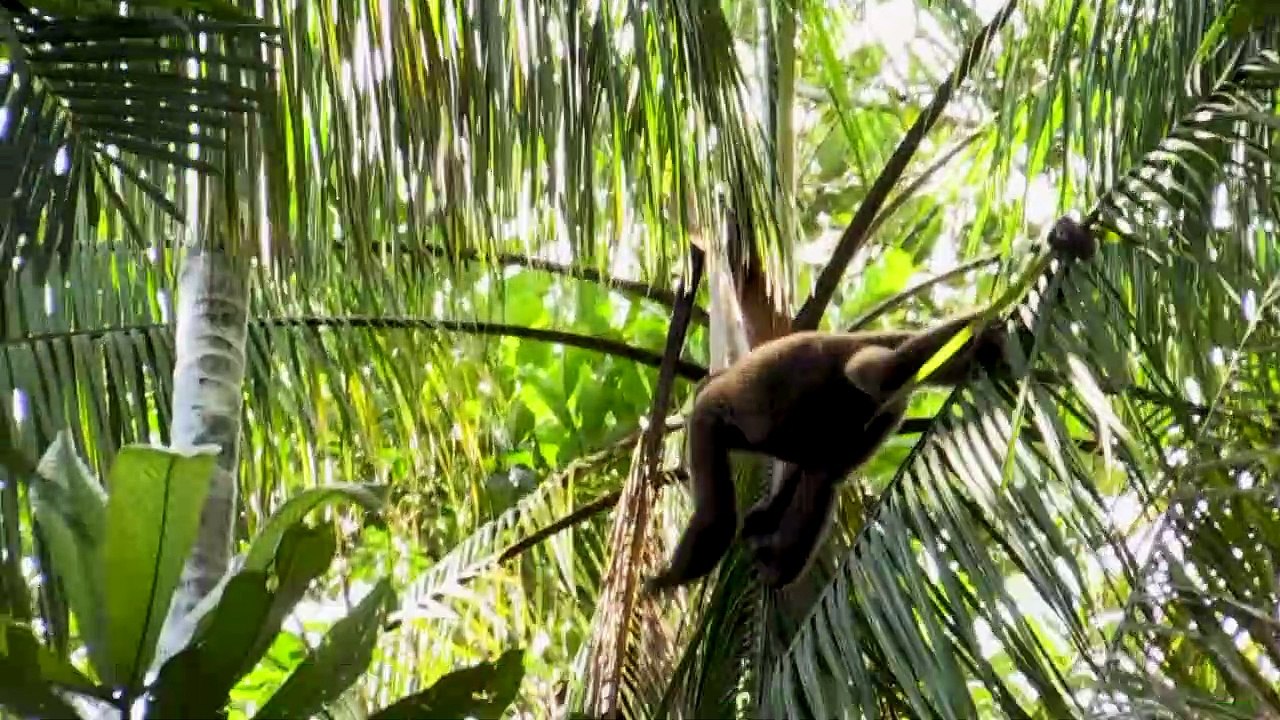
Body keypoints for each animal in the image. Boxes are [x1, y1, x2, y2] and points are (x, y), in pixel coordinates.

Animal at [643, 215, 1098, 594]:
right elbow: (801, 473)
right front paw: (764, 517)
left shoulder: (705, 420)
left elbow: (716, 520)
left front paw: (664, 580)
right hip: (877, 415)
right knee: (828, 469)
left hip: (867, 367)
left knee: (872, 375)